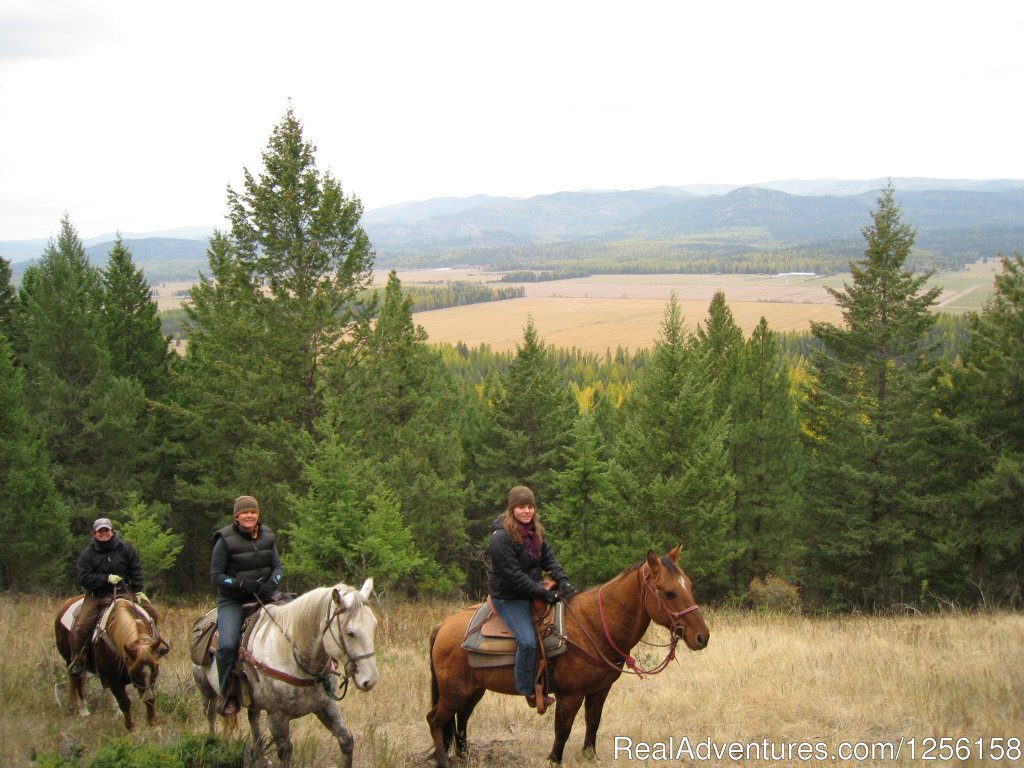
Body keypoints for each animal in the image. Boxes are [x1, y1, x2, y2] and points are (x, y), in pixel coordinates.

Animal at [54, 593, 163, 733]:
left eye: (156, 669)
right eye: (134, 673)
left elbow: (150, 698)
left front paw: (152, 723)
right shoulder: (114, 678)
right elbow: (125, 702)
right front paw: (132, 728)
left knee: (103, 684)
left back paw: (115, 711)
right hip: (71, 661)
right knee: (78, 680)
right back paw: (84, 710)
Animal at [192, 581, 380, 765]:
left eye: (374, 626)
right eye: (350, 632)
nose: (370, 680)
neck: (294, 658)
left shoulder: (326, 706)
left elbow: (346, 740)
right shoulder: (277, 717)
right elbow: (285, 752)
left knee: (253, 718)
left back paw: (261, 757)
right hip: (205, 690)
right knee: (210, 715)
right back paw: (211, 744)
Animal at [428, 548, 708, 765]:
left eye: (690, 585)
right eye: (669, 592)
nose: (702, 637)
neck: (594, 625)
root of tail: (442, 626)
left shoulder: (599, 690)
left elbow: (593, 723)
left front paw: (589, 757)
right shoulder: (570, 695)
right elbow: (562, 730)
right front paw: (554, 759)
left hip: (473, 690)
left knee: (461, 720)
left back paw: (464, 758)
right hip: (453, 692)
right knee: (435, 720)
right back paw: (443, 761)